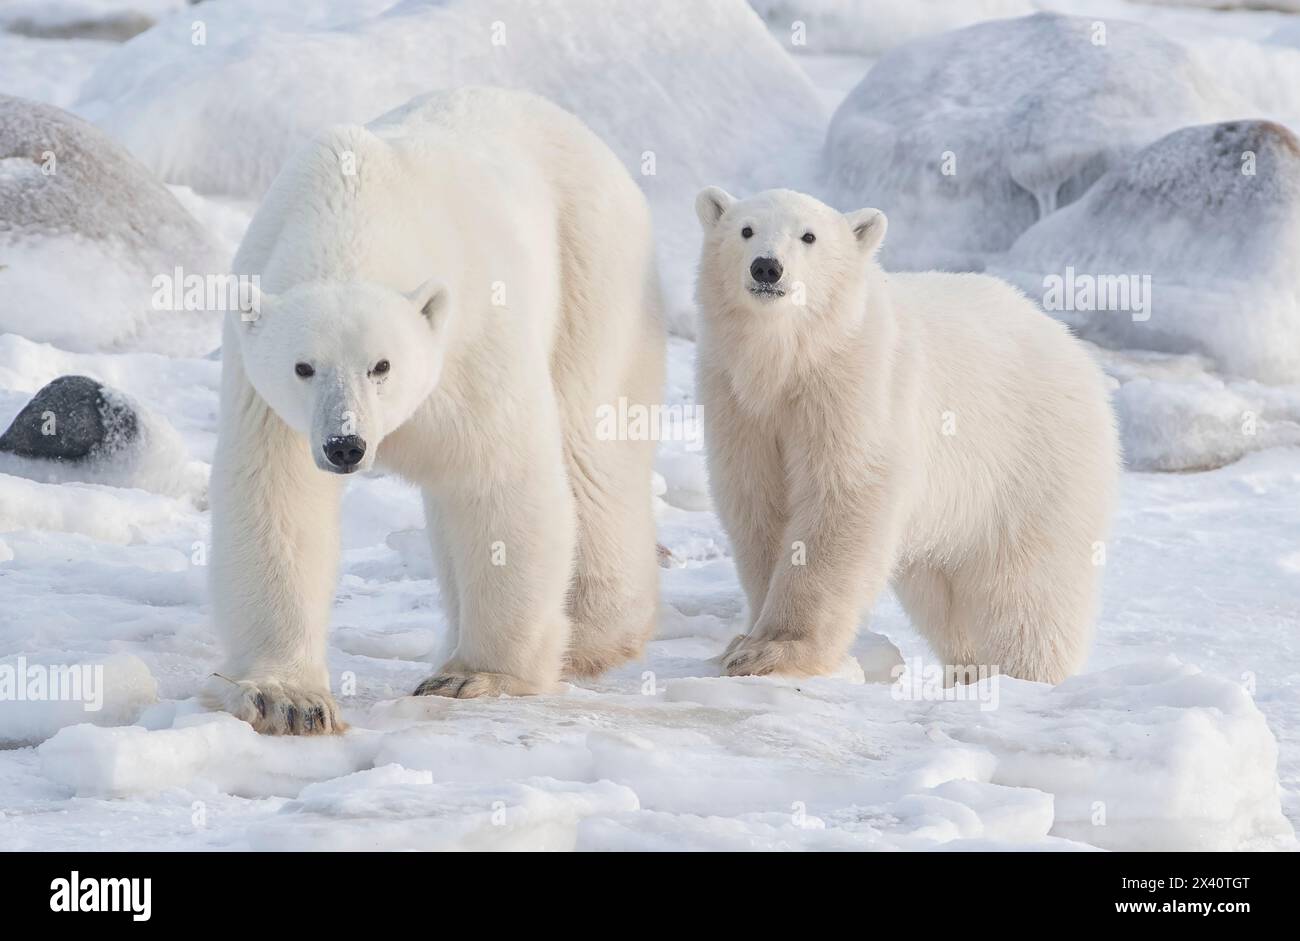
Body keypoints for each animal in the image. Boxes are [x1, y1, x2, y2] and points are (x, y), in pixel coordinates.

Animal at [209, 88, 670, 733]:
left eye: (382, 365)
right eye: (304, 367)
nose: (345, 446)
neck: (352, 207)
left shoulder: (470, 346)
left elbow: (500, 478)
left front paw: (475, 675)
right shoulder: (269, 396)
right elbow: (277, 494)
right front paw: (288, 700)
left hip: (593, 268)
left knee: (591, 444)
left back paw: (593, 632)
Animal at [702, 187, 1118, 686]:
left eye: (809, 236)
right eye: (745, 230)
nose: (767, 267)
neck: (793, 359)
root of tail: (1074, 348)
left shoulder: (858, 387)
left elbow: (841, 500)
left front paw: (773, 651)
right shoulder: (739, 404)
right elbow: (758, 503)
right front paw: (745, 639)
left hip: (1034, 464)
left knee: (1027, 593)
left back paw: (1025, 675)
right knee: (940, 598)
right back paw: (967, 672)